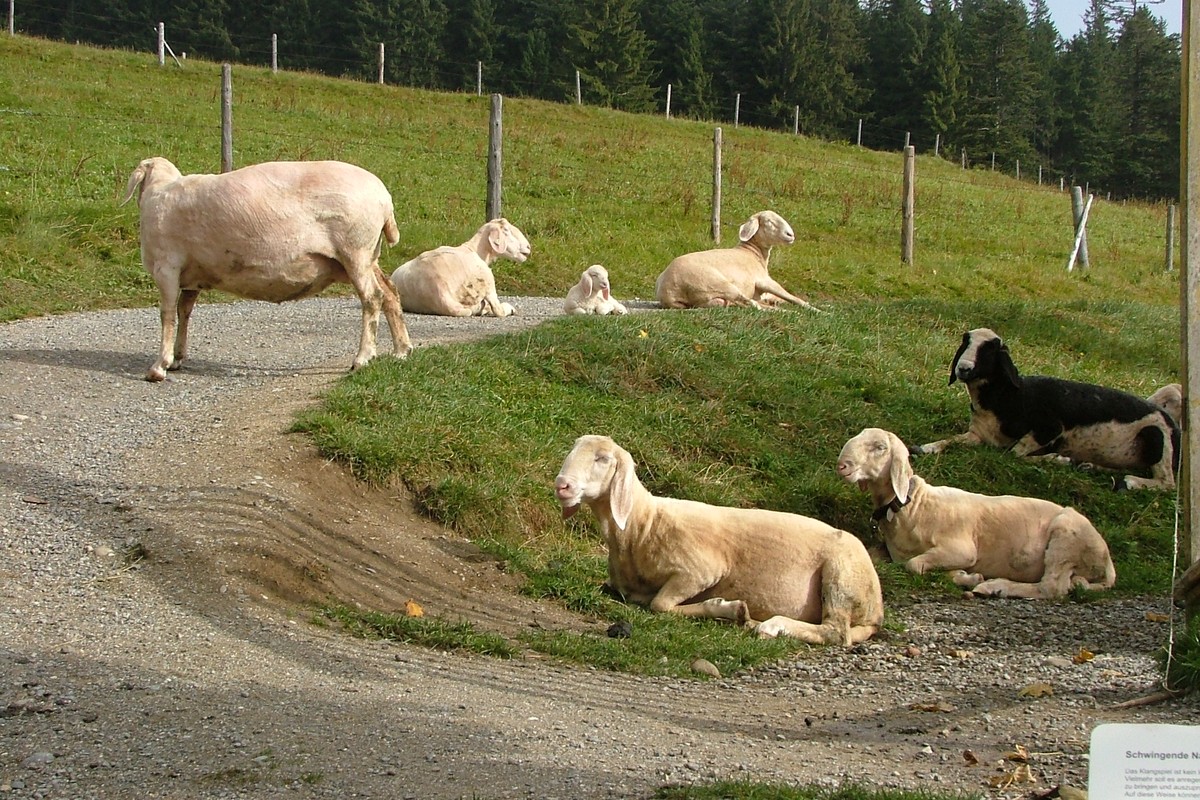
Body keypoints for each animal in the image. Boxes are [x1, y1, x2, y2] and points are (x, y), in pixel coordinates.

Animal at [120, 158, 412, 383]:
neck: (158, 192)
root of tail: (384, 199)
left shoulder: (166, 267)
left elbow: (167, 315)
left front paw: (159, 367)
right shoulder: (192, 277)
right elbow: (184, 312)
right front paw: (177, 359)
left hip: (355, 250)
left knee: (372, 298)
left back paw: (362, 358)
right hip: (366, 256)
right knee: (390, 292)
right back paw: (401, 350)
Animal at [388, 221, 530, 319]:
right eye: (506, 230)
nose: (528, 247)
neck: (475, 250)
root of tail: (440, 292)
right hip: (487, 281)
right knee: (495, 309)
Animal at [552, 434, 883, 647]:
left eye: (603, 458)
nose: (562, 485)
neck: (642, 525)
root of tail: (876, 610)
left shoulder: (700, 570)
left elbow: (660, 605)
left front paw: (726, 607)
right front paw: (734, 612)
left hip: (841, 578)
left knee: (836, 632)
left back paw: (772, 625)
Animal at [916, 328, 1180, 491]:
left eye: (989, 350)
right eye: (965, 343)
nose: (963, 368)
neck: (1010, 398)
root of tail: (1172, 422)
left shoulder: (1050, 429)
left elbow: (1014, 453)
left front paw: (1057, 459)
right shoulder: (978, 434)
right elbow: (951, 440)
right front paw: (926, 447)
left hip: (1157, 437)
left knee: (1167, 483)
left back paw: (1130, 483)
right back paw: (1091, 466)